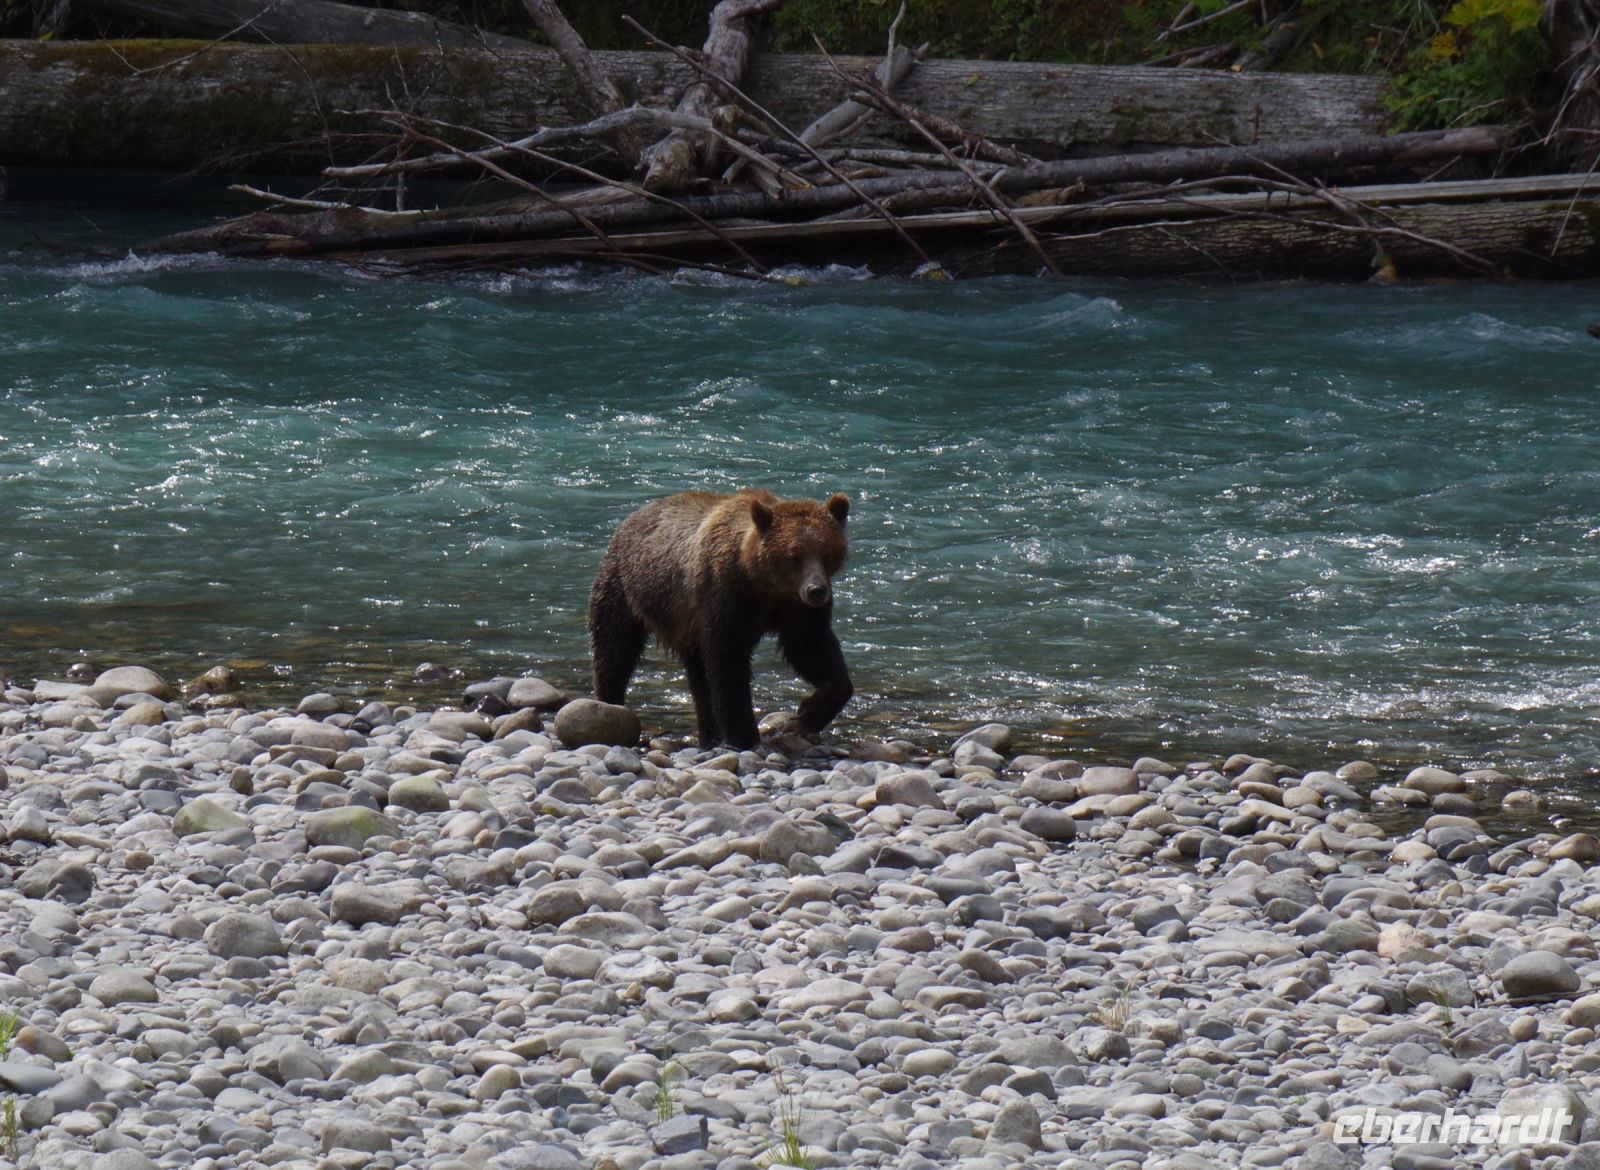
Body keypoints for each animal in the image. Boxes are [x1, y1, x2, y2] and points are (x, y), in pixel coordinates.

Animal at [588, 489, 853, 750]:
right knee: (615, 647)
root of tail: (633, 517)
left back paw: (709, 735)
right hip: (625, 585)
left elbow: (811, 646)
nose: (816, 590)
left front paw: (811, 713)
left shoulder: (795, 607)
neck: (762, 580)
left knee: (698, 677)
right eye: (795, 555)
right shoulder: (727, 595)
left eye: (826, 552)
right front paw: (744, 734)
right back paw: (611, 703)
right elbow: (728, 659)